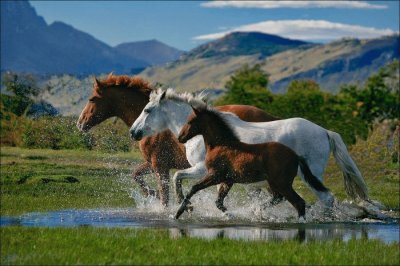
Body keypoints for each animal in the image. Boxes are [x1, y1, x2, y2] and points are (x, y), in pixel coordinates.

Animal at [77, 74, 278, 207]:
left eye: (92, 99)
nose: (80, 123)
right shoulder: (153, 164)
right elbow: (137, 175)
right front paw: (151, 194)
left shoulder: (160, 165)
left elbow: (165, 196)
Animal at [130, 88, 368, 207]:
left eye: (148, 110)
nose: (133, 132)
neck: (205, 133)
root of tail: (324, 131)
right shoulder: (221, 175)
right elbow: (218, 196)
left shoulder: (202, 169)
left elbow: (176, 176)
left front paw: (185, 205)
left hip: (310, 175)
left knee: (325, 198)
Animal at [176, 105, 332, 219]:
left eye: (190, 121)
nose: (180, 138)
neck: (222, 144)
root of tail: (296, 156)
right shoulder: (228, 180)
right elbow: (218, 202)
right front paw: (230, 214)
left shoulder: (214, 175)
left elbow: (193, 188)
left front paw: (179, 211)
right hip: (274, 183)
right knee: (280, 198)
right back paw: (258, 210)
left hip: (282, 183)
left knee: (300, 202)